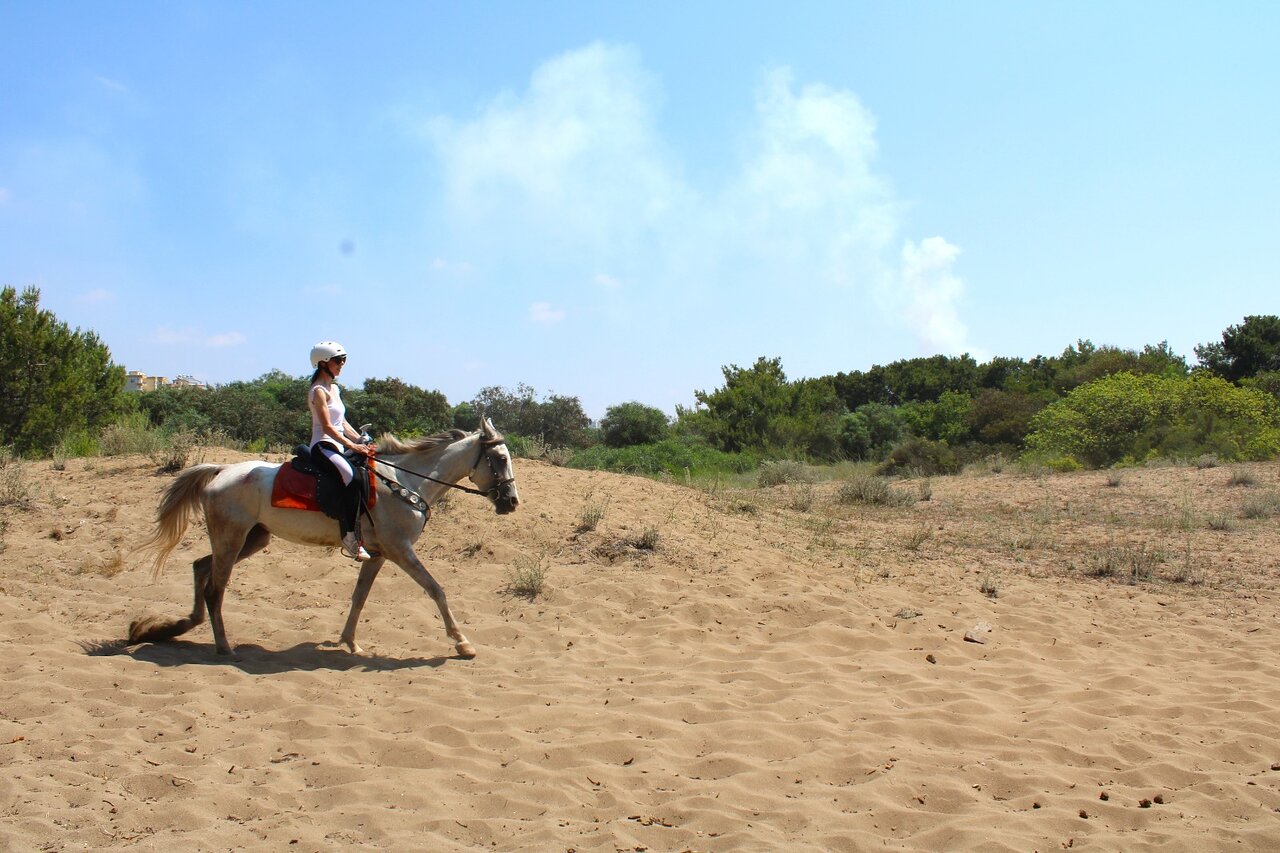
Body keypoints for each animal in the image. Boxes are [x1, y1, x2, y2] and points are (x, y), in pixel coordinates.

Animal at [128, 418, 519, 658]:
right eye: (499, 459)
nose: (512, 502)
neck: (405, 481)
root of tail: (222, 470)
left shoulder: (378, 554)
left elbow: (359, 598)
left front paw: (349, 643)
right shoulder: (400, 550)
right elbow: (436, 590)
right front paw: (462, 642)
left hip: (252, 540)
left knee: (200, 567)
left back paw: (173, 626)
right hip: (232, 539)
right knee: (215, 588)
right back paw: (224, 647)